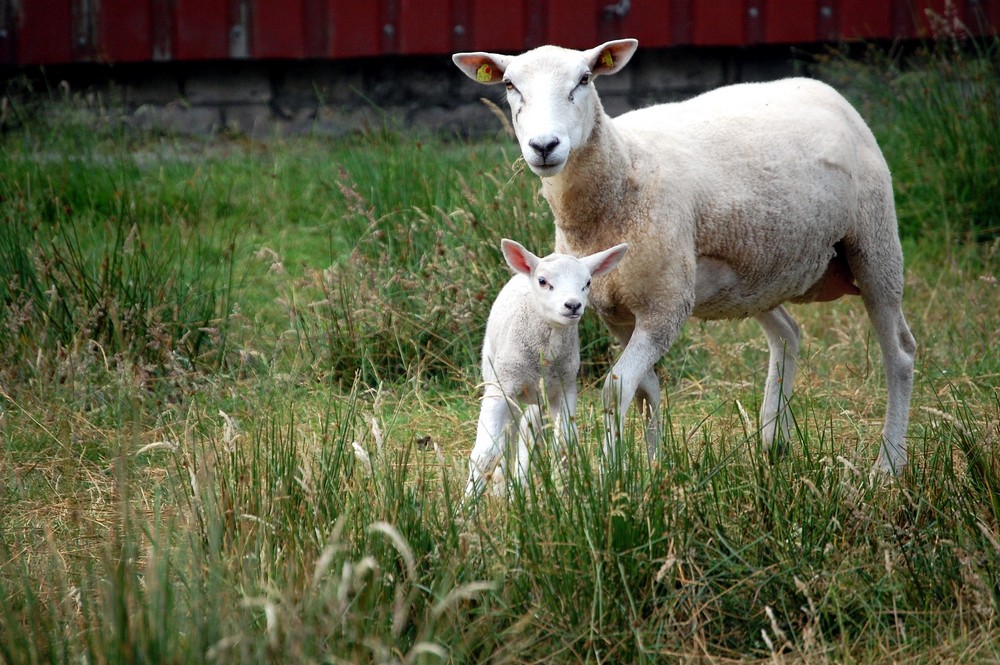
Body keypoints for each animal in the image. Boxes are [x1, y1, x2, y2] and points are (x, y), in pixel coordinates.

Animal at [466, 236, 624, 496]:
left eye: (588, 282)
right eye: (543, 281)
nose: (573, 305)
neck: (546, 352)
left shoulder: (565, 388)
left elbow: (564, 443)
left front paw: (564, 491)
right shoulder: (501, 388)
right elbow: (485, 454)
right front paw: (465, 505)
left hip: (539, 396)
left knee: (528, 432)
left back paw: (519, 483)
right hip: (496, 375)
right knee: (509, 433)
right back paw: (502, 487)